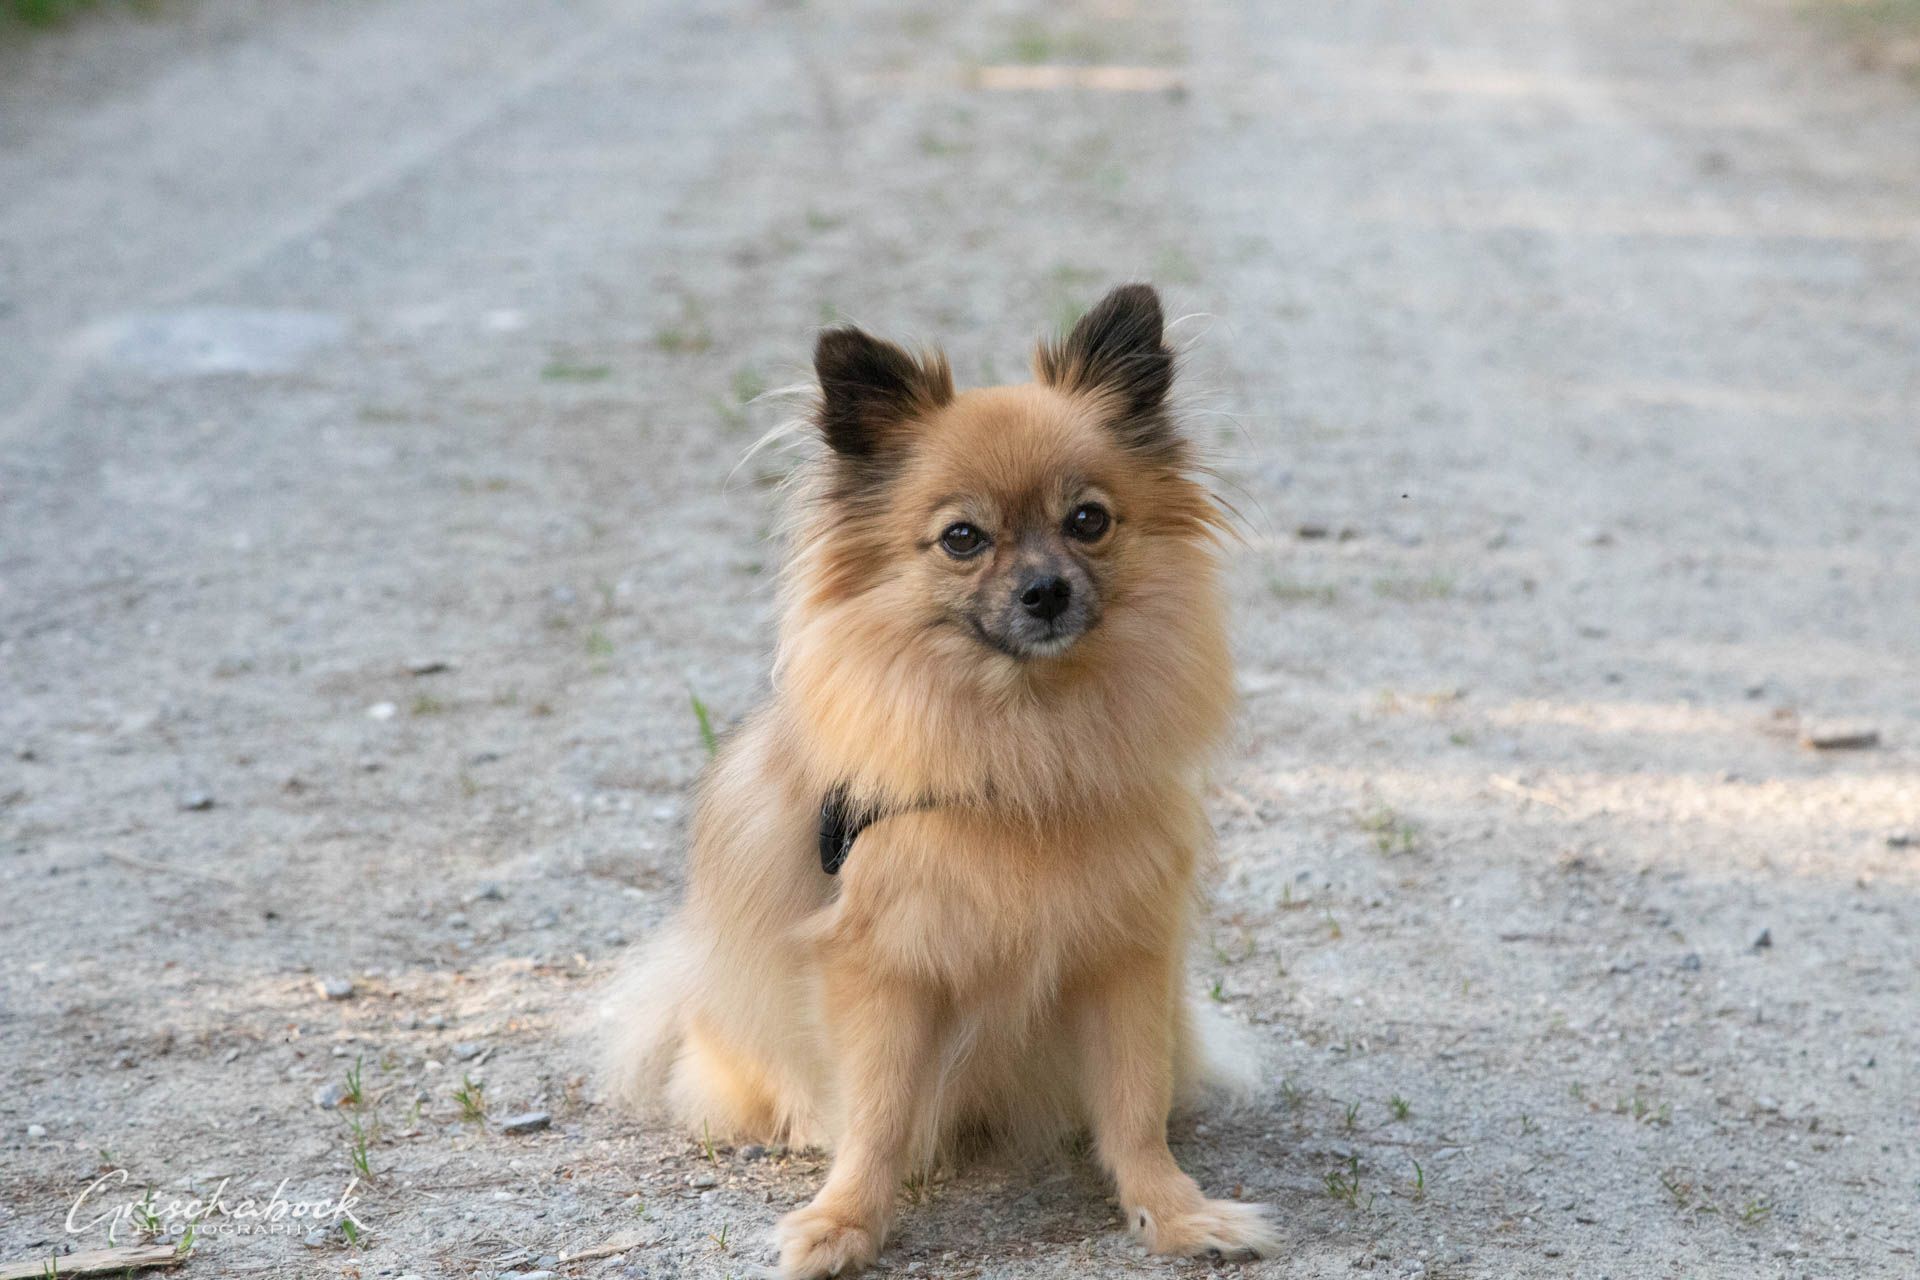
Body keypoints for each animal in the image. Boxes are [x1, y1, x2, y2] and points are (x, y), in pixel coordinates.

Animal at [604, 283, 1277, 1276]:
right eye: (962, 538)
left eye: (1089, 521)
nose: (1045, 591)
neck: (1023, 742)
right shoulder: (884, 969)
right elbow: (880, 1116)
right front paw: (844, 1223)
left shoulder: (1121, 958)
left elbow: (1132, 1105)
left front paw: (1172, 1213)